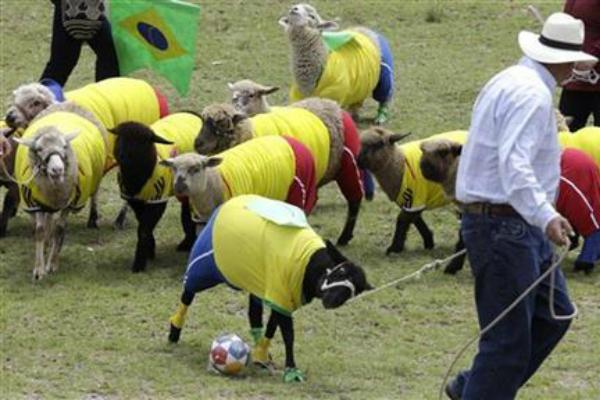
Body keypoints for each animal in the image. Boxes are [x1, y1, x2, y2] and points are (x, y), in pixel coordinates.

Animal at [112, 114, 204, 274]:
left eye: (142, 141)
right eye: (120, 137)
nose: (122, 155)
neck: (135, 179)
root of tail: (192, 114)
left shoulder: (158, 199)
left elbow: (143, 229)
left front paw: (139, 264)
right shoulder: (135, 201)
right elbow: (143, 226)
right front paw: (150, 251)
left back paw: (187, 243)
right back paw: (186, 243)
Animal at [195, 98, 366, 245]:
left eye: (221, 122)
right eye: (202, 121)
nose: (197, 143)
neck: (248, 133)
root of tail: (337, 107)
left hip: (348, 165)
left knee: (355, 200)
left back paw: (344, 237)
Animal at [356, 126, 468, 255]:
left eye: (379, 144)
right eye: (361, 144)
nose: (358, 161)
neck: (400, 165)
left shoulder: (414, 198)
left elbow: (402, 220)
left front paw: (394, 248)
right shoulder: (410, 203)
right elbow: (416, 221)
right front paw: (429, 242)